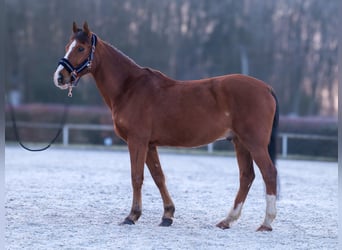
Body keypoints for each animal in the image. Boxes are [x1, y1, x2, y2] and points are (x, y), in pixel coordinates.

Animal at [53, 22, 278, 231]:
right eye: (66, 46)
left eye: (80, 48)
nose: (60, 77)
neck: (129, 88)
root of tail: (266, 88)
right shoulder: (150, 144)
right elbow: (158, 177)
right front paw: (167, 215)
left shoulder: (137, 141)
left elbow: (137, 177)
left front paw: (132, 216)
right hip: (240, 143)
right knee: (246, 176)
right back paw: (227, 220)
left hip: (254, 143)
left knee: (269, 173)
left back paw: (266, 223)